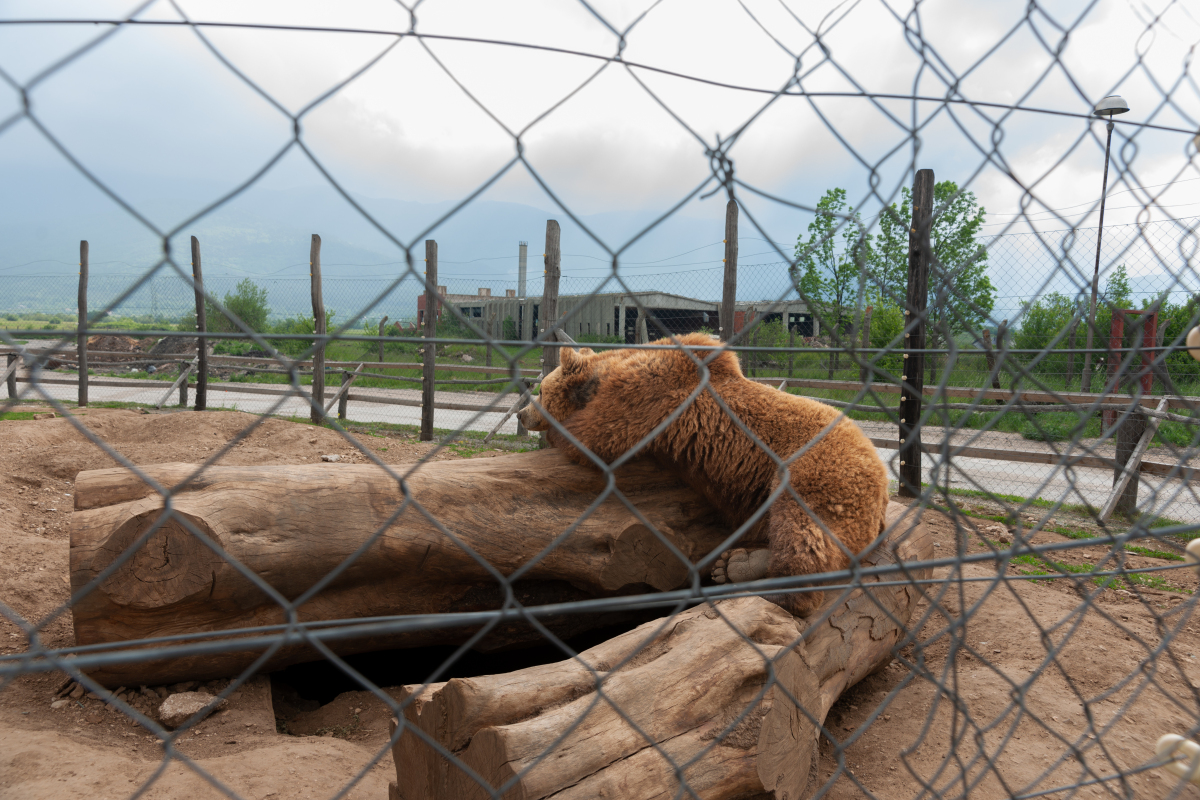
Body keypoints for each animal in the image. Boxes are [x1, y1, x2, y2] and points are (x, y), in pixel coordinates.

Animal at [516, 331, 892, 614]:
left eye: (540, 390)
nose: (521, 414)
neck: (602, 379)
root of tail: (882, 479)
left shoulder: (645, 400)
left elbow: (592, 436)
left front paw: (558, 432)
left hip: (816, 470)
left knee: (805, 526)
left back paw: (773, 585)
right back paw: (737, 564)